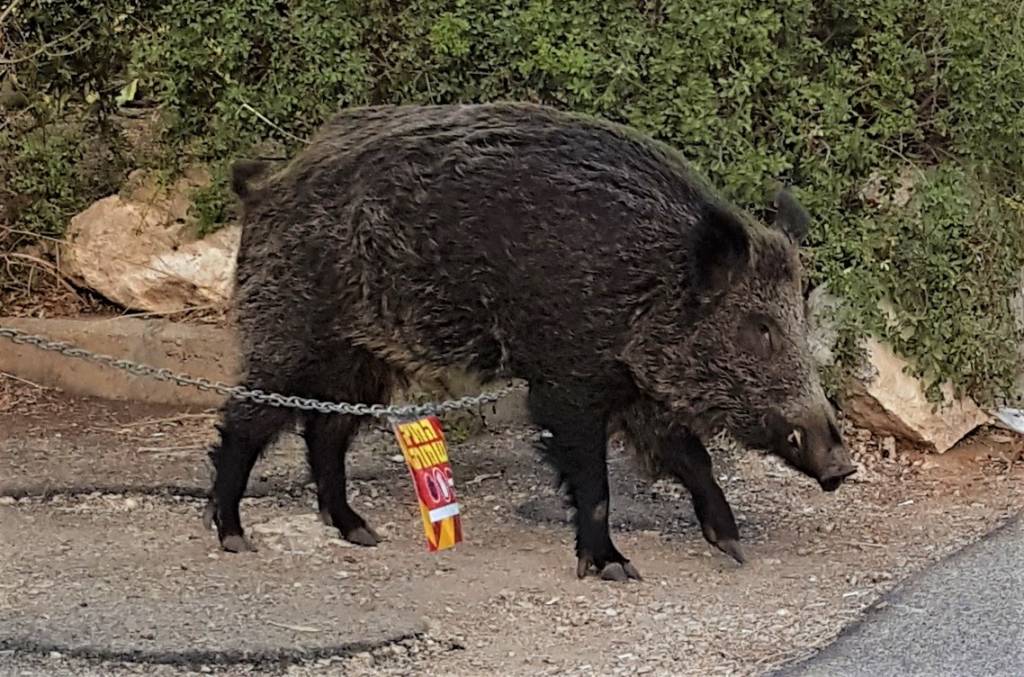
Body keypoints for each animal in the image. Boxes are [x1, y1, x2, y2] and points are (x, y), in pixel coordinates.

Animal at [205, 102, 856, 581]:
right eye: (760, 329)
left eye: (798, 317)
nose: (842, 464)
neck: (647, 284)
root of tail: (263, 185)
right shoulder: (567, 379)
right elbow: (593, 480)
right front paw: (615, 569)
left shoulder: (635, 385)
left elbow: (691, 458)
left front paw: (735, 547)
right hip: (288, 330)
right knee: (247, 421)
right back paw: (234, 536)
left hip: (361, 359)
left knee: (326, 431)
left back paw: (362, 533)